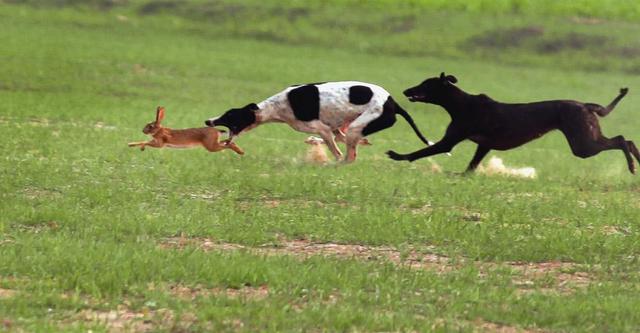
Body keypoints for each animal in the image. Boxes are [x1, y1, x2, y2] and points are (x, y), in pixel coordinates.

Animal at [205, 81, 432, 162]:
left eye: (230, 116)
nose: (208, 121)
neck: (279, 105)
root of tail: (392, 102)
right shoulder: (334, 128)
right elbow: (336, 138)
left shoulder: (323, 128)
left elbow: (335, 150)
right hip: (353, 125)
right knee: (350, 144)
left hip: (357, 125)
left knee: (348, 157)